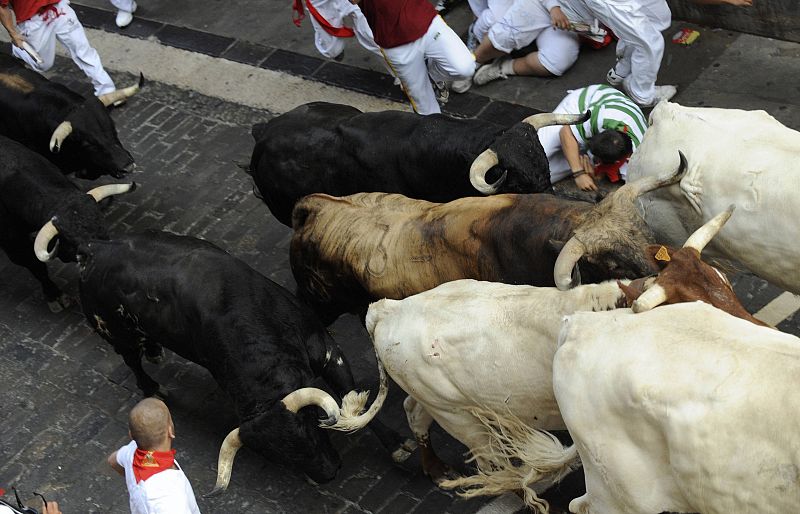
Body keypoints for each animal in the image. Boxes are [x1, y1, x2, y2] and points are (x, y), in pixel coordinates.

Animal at [76, 230, 412, 490]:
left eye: (309, 427)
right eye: (276, 456)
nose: (327, 476)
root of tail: (94, 247)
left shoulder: (327, 350)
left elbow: (353, 400)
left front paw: (398, 446)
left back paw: (155, 352)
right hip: (116, 333)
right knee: (132, 362)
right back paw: (153, 387)